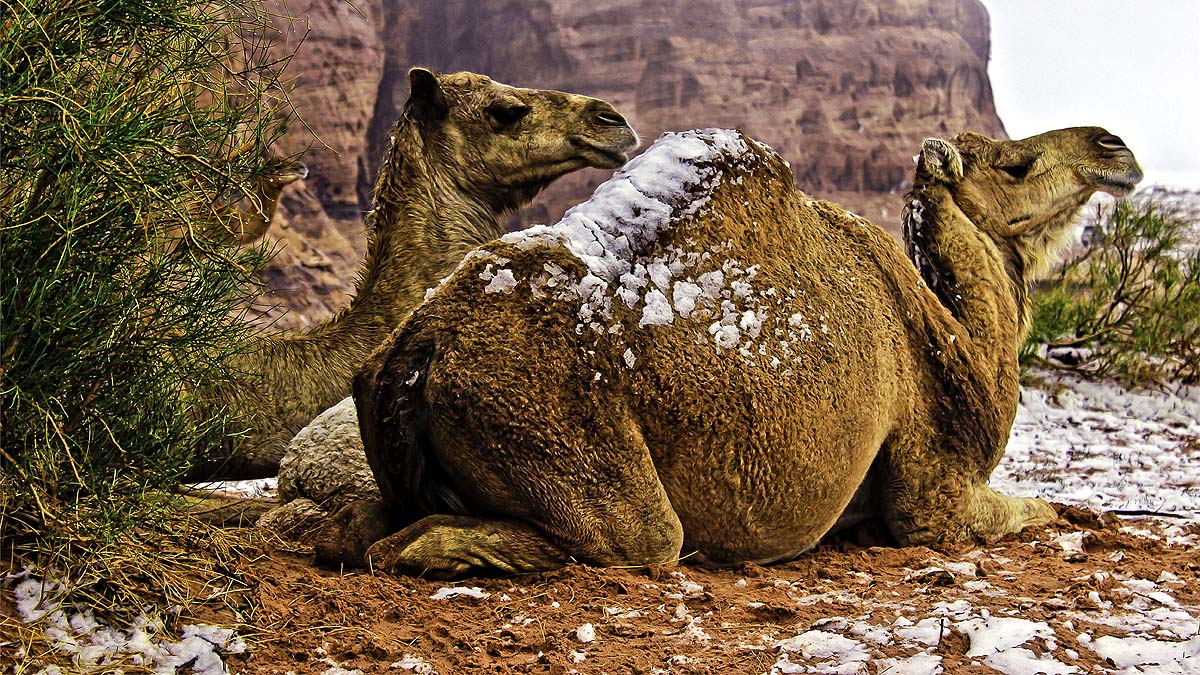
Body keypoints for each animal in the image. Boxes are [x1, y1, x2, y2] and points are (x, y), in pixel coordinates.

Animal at [325, 125, 1141, 577]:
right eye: (1015, 164)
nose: (1114, 146)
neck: (964, 342)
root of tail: (413, 353)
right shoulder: (932, 493)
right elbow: (1033, 508)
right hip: (564, 442)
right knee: (633, 540)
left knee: (361, 524)